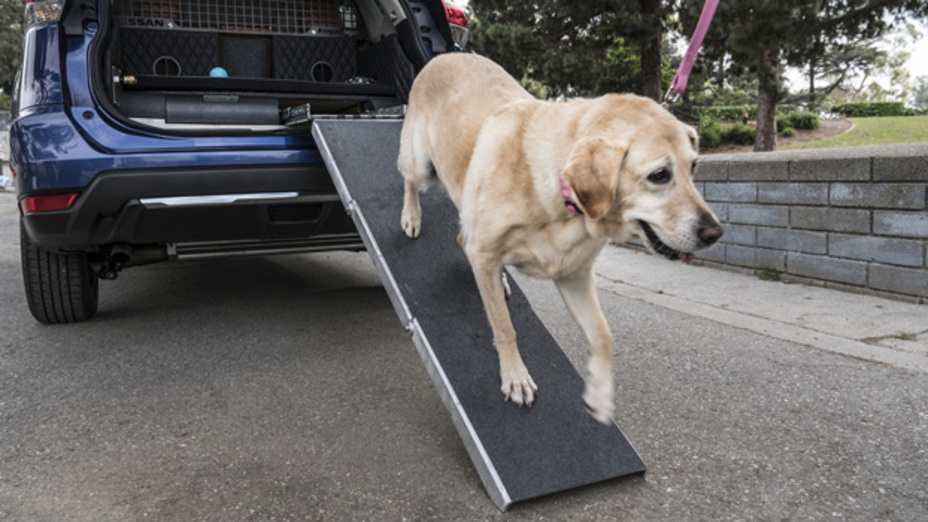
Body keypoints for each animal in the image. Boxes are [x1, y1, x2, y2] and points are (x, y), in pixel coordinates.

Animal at [396, 52, 720, 420]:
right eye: (660, 174)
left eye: (694, 167)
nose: (714, 233)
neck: (561, 199)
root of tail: (444, 55)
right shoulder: (486, 253)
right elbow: (504, 326)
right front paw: (515, 377)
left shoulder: (573, 275)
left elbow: (604, 335)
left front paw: (599, 393)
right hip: (422, 168)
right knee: (409, 181)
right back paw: (411, 217)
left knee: (465, 240)